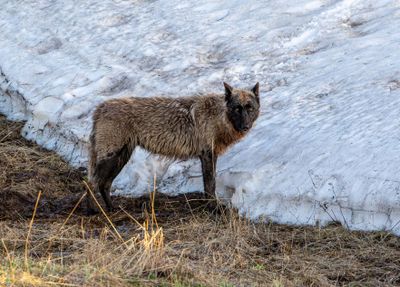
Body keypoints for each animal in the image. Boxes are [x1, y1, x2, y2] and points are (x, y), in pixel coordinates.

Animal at [88, 82, 260, 213]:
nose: (245, 126)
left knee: (104, 184)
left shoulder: (208, 156)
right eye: (237, 108)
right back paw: (94, 210)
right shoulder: (207, 155)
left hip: (120, 158)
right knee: (93, 183)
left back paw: (111, 208)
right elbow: (210, 185)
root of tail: (100, 108)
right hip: (112, 157)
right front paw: (214, 208)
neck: (217, 116)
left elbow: (208, 185)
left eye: (250, 108)